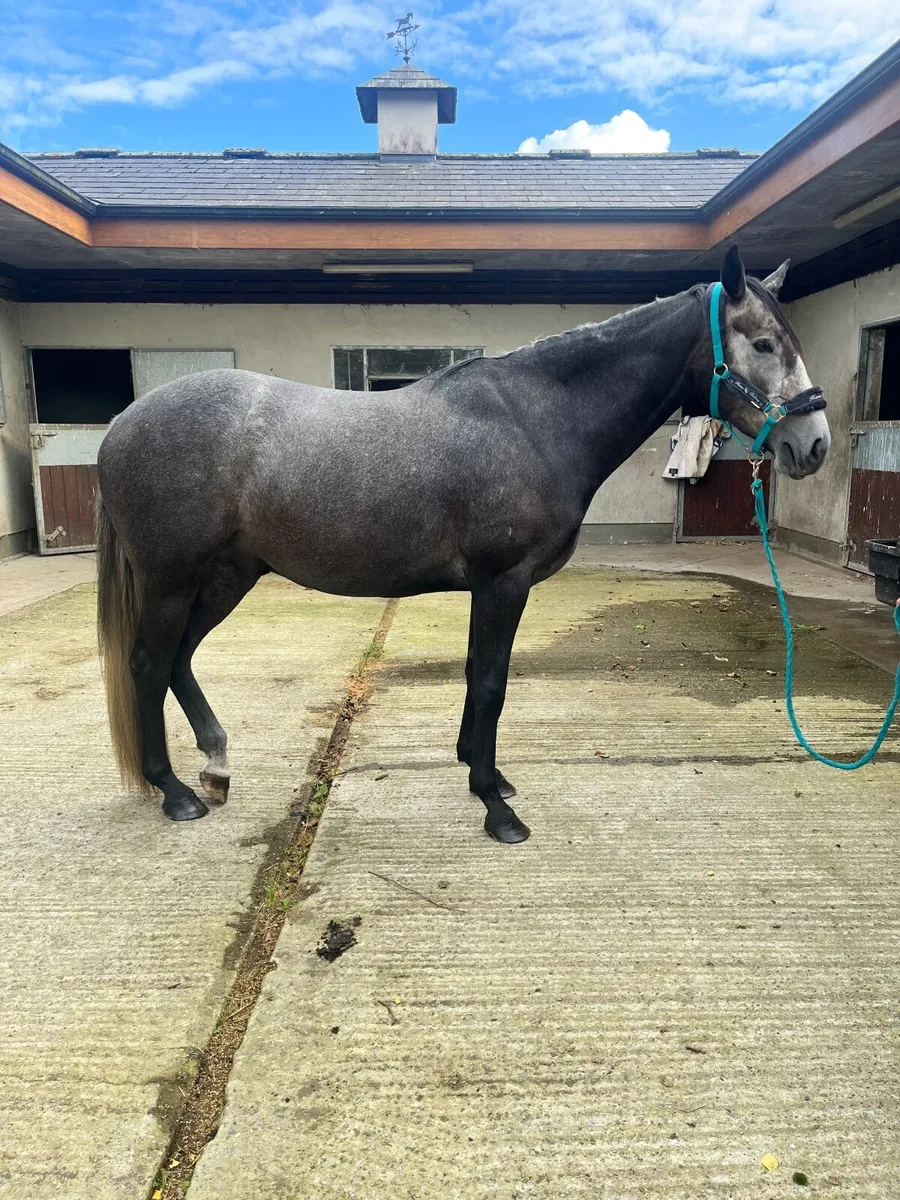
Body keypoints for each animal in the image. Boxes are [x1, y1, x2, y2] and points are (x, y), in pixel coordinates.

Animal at [96, 246, 830, 844]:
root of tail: (120, 427)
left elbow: (482, 677)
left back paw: (216, 766)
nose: (814, 445)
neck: (535, 421)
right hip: (172, 580)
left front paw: (489, 776)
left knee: (179, 659)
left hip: (227, 576)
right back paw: (175, 793)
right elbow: (491, 681)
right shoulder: (503, 581)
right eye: (763, 344)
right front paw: (496, 808)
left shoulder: (491, 586)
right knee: (148, 664)